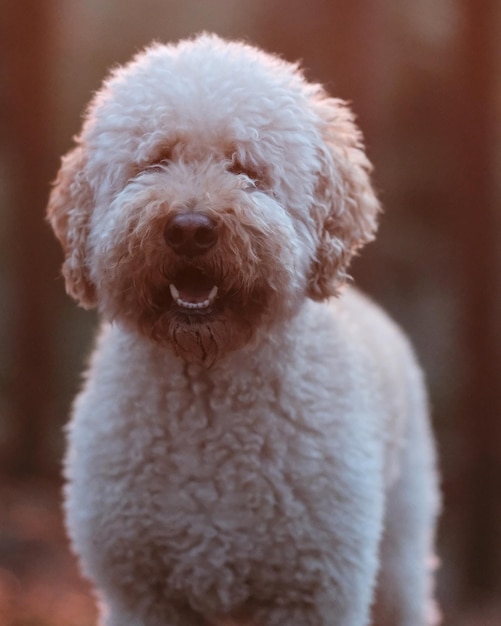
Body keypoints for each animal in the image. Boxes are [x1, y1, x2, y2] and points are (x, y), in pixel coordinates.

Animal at [46, 33, 438, 624]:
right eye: (155, 161)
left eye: (245, 167)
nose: (189, 229)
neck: (207, 395)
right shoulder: (141, 594)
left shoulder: (313, 591)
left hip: (399, 549)